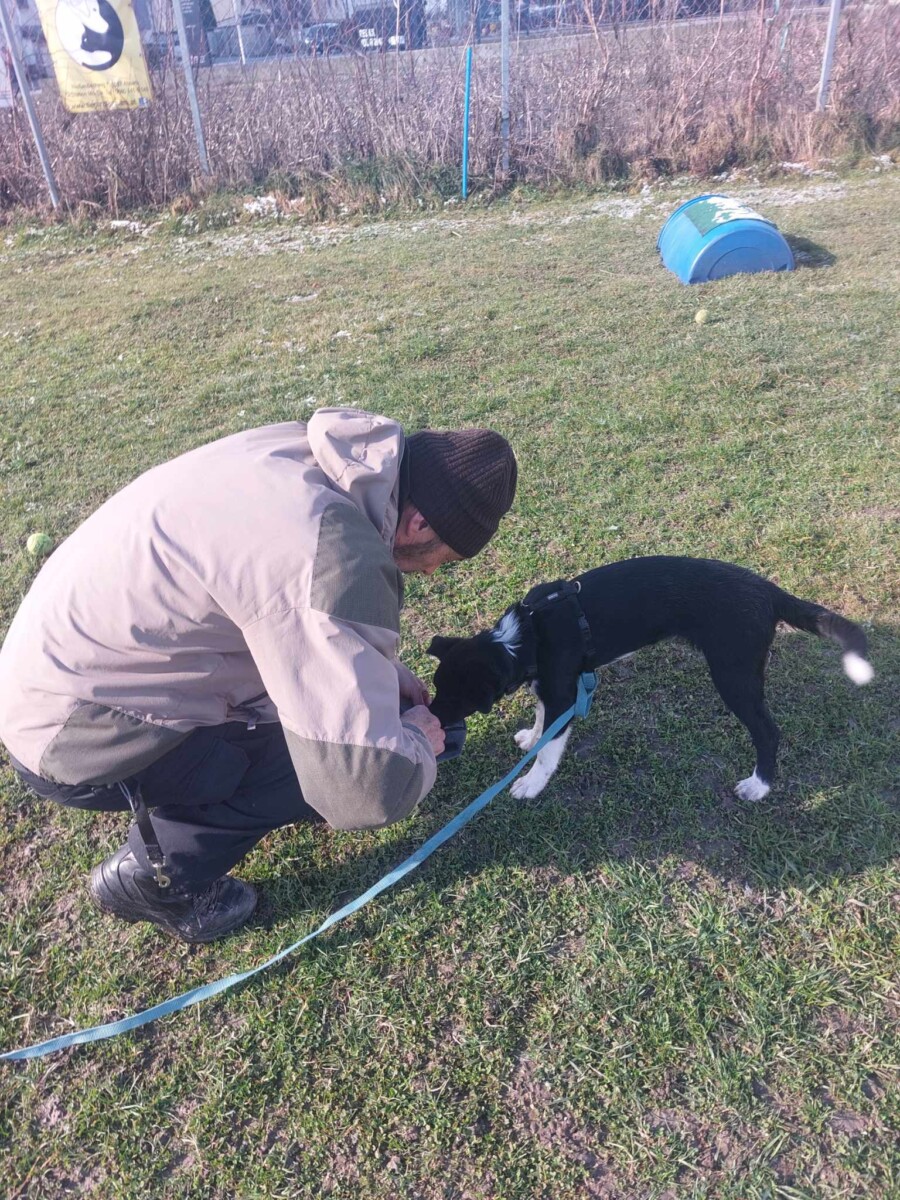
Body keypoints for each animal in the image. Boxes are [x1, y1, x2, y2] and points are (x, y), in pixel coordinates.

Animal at [428, 556, 873, 802]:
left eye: (453, 698)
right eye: (436, 688)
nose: (430, 720)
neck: (524, 635)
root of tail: (769, 591)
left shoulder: (563, 693)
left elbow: (549, 750)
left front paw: (530, 784)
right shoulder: (551, 689)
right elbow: (541, 723)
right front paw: (530, 736)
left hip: (734, 675)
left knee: (768, 732)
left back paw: (759, 785)